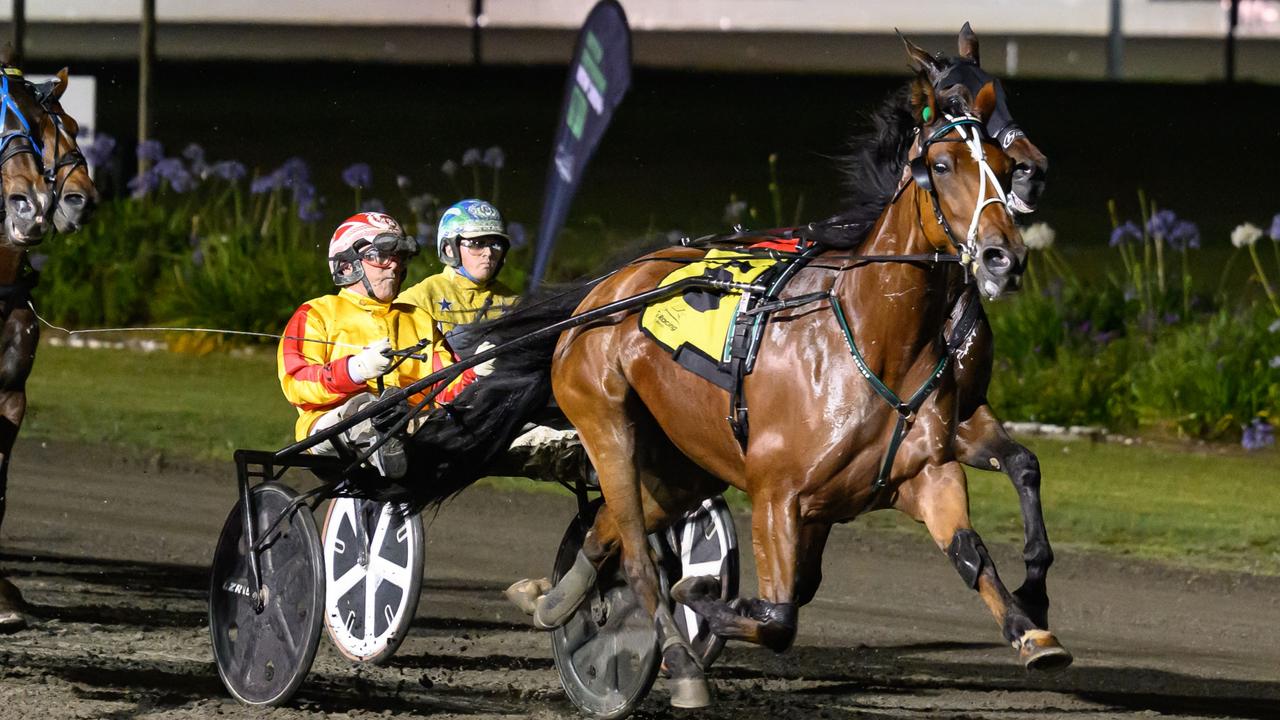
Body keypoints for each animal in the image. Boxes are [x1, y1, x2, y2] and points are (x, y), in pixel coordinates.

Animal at [532, 58, 1070, 702]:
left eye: (1003, 166)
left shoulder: (926, 470)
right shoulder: (777, 494)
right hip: (606, 421)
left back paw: (558, 601)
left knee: (607, 527)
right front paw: (703, 594)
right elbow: (777, 618)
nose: (1003, 257)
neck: (871, 338)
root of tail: (606, 288)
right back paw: (678, 659)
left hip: (682, 460)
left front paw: (1031, 628)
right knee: (638, 555)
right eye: (941, 166)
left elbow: (972, 549)